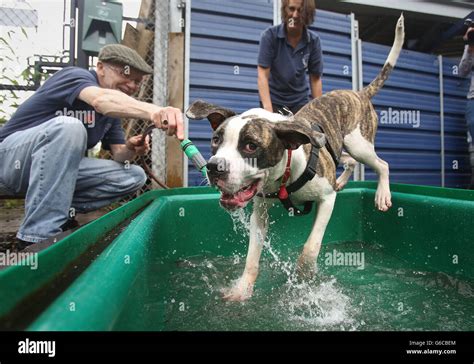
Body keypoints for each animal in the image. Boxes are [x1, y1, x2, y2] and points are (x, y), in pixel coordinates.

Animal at [185, 14, 404, 302]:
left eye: (251, 146)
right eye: (216, 140)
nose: (213, 168)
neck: (285, 176)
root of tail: (358, 92)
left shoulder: (326, 199)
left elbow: (310, 248)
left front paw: (305, 280)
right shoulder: (259, 211)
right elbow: (252, 257)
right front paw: (242, 289)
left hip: (360, 143)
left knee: (381, 164)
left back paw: (382, 194)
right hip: (343, 147)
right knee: (349, 162)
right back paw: (343, 181)